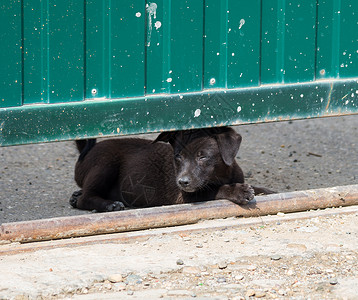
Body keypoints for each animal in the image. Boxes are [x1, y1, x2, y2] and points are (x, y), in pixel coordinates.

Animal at [70, 126, 274, 211]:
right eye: (178, 157)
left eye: (202, 156)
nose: (182, 182)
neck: (222, 175)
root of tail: (85, 153)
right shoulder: (184, 197)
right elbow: (214, 190)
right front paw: (238, 192)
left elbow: (258, 187)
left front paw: (269, 192)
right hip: (105, 163)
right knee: (86, 198)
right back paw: (108, 205)